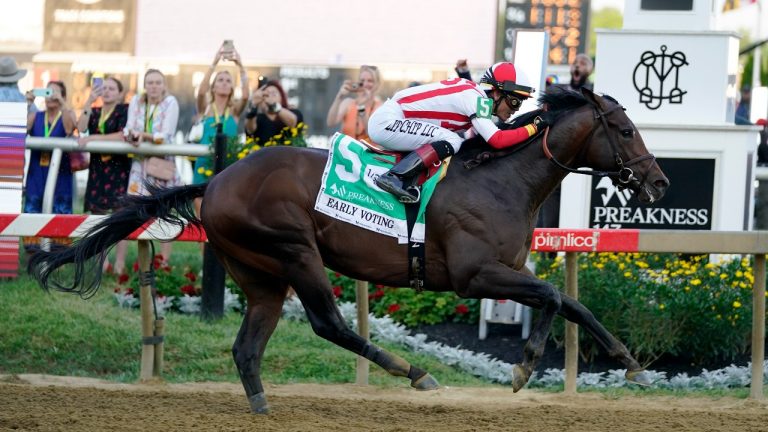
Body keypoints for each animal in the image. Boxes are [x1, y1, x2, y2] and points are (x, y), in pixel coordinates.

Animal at [30, 87, 664, 412]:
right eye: (625, 130)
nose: (658, 183)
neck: (500, 179)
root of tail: (215, 181)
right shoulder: (473, 275)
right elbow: (556, 297)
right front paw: (535, 365)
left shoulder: (506, 270)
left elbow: (565, 301)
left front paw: (622, 363)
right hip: (294, 249)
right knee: (329, 324)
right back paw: (414, 373)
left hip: (260, 273)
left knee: (248, 345)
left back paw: (262, 407)